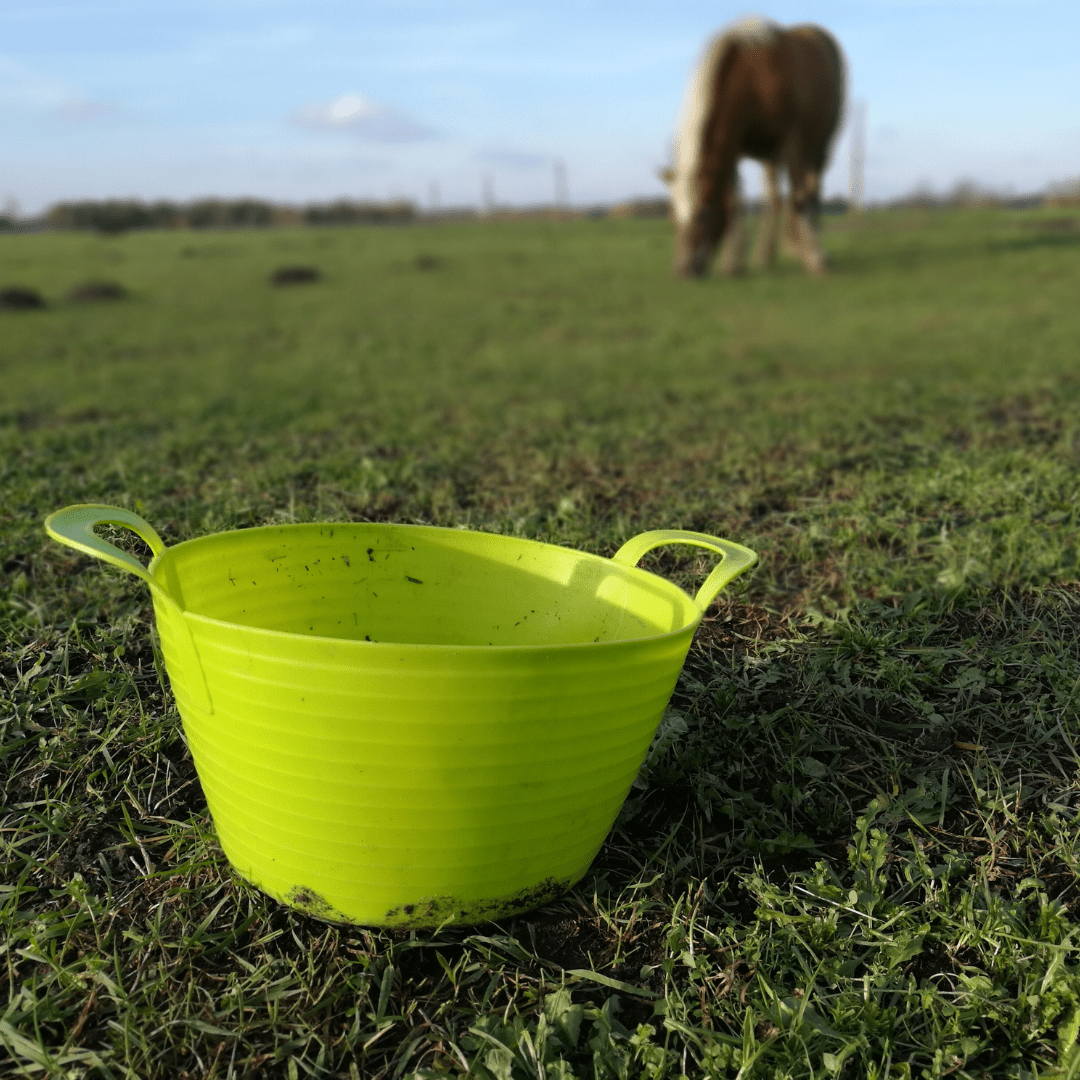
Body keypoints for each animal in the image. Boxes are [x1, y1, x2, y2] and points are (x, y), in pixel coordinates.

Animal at [663, 17, 844, 278]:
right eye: (672, 217)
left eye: (704, 215)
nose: (683, 271)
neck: (752, 79)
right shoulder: (732, 149)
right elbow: (736, 203)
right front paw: (733, 263)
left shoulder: (792, 142)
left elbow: (800, 198)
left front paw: (816, 259)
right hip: (770, 158)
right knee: (775, 199)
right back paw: (766, 255)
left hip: (820, 148)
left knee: (813, 191)